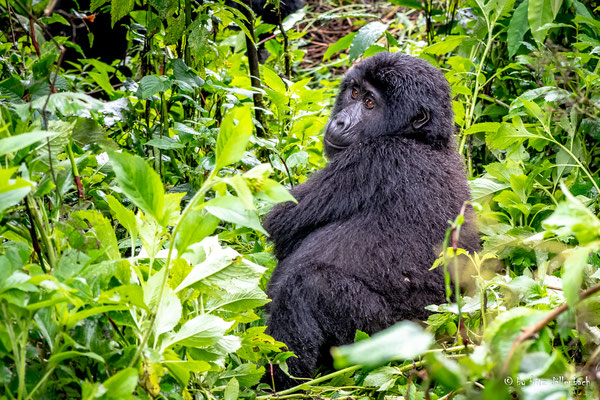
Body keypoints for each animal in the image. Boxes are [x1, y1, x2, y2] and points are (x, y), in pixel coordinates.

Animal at [262, 51, 482, 390]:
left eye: (369, 103)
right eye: (353, 93)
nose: (340, 121)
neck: (421, 139)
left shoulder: (372, 157)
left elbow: (280, 224)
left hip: (385, 341)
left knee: (308, 285)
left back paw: (280, 384)